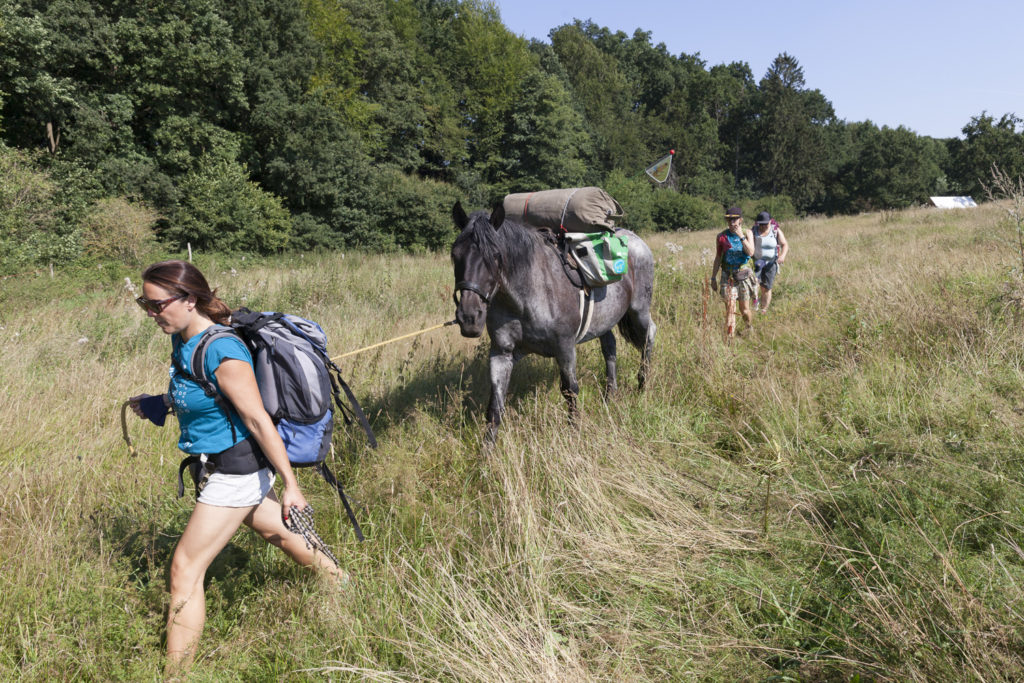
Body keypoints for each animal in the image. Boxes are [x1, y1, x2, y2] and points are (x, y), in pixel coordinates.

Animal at [448, 200, 655, 440]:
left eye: (496, 255)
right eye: (455, 254)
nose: (469, 317)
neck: (526, 297)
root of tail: (634, 239)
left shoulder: (565, 348)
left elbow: (570, 390)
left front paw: (574, 433)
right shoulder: (501, 353)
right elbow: (495, 404)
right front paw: (487, 448)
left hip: (639, 311)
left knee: (648, 337)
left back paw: (642, 386)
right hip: (606, 320)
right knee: (610, 348)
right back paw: (609, 395)